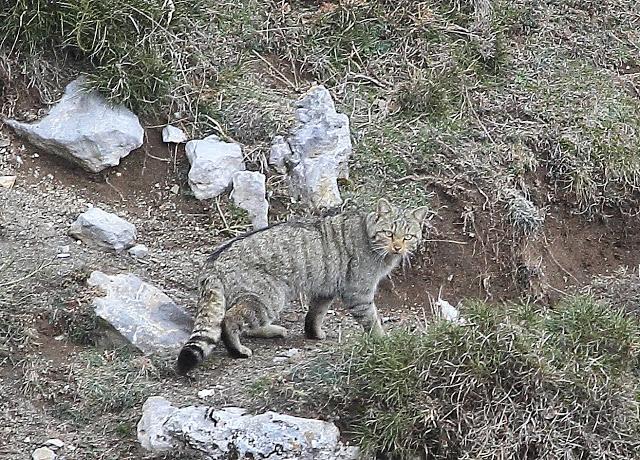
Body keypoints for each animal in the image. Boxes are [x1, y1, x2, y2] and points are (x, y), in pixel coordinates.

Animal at [175, 198, 428, 374]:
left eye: (408, 236)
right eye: (389, 233)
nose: (397, 247)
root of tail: (213, 261)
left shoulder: (326, 289)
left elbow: (315, 314)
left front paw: (314, 333)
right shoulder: (359, 293)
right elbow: (372, 320)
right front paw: (384, 340)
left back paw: (272, 331)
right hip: (269, 297)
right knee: (230, 320)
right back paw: (238, 350)